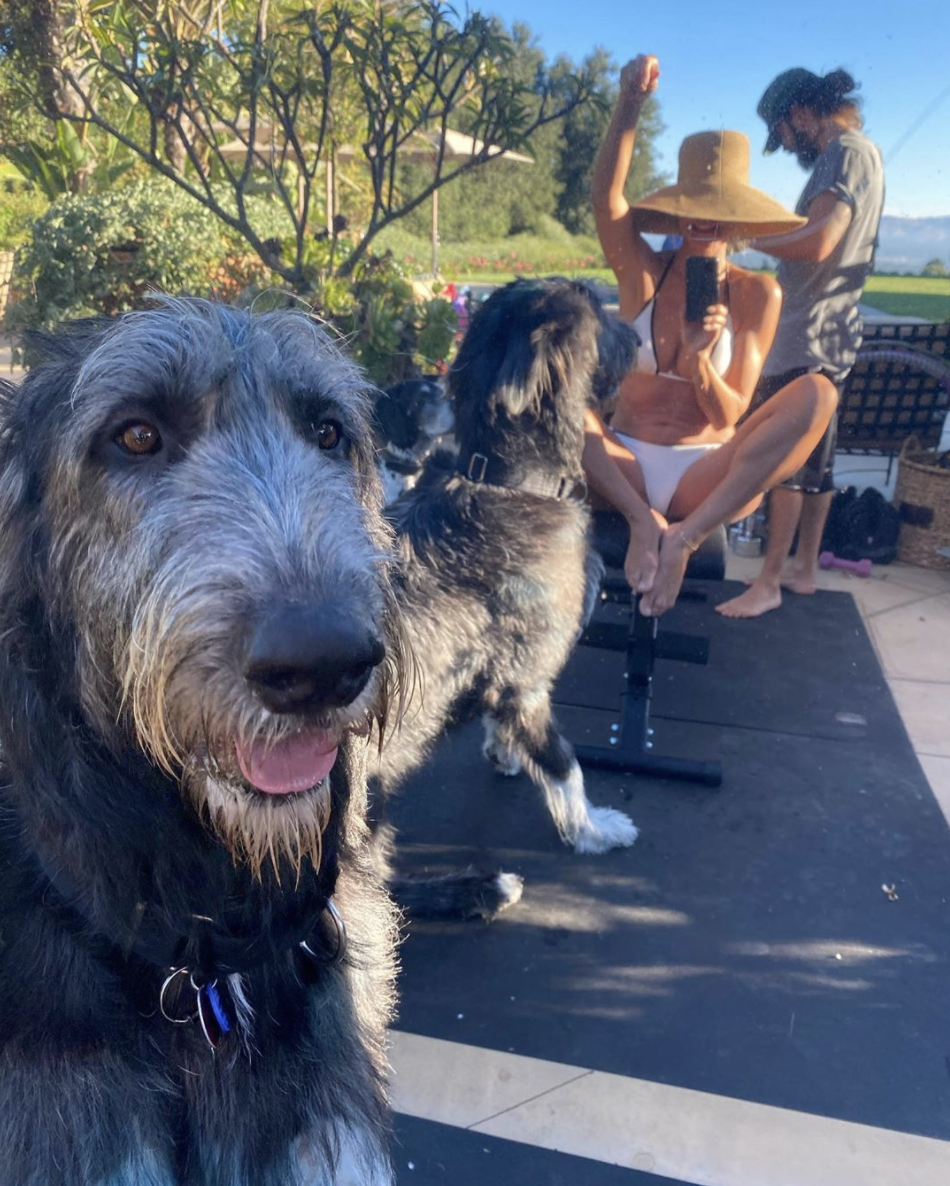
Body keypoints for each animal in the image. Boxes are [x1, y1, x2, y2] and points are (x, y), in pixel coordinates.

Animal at [374, 275, 640, 915]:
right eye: (595, 305)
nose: (641, 337)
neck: (501, 480)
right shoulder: (528, 681)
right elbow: (568, 767)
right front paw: (594, 829)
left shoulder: (506, 683)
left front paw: (506, 752)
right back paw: (482, 889)